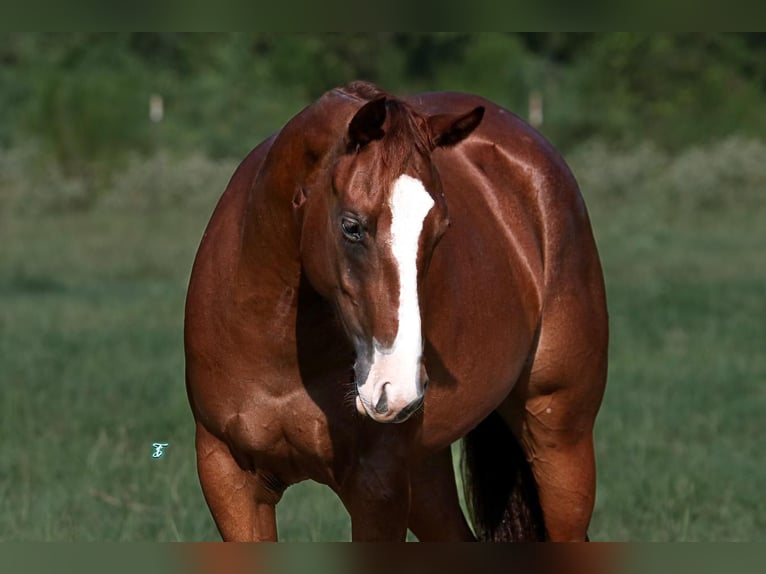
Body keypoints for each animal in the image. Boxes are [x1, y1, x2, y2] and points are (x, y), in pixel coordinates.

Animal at [183, 82, 608, 544]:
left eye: (439, 231)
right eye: (351, 227)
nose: (398, 388)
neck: (277, 347)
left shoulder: (377, 488)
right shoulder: (229, 480)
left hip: (560, 440)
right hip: (424, 470)